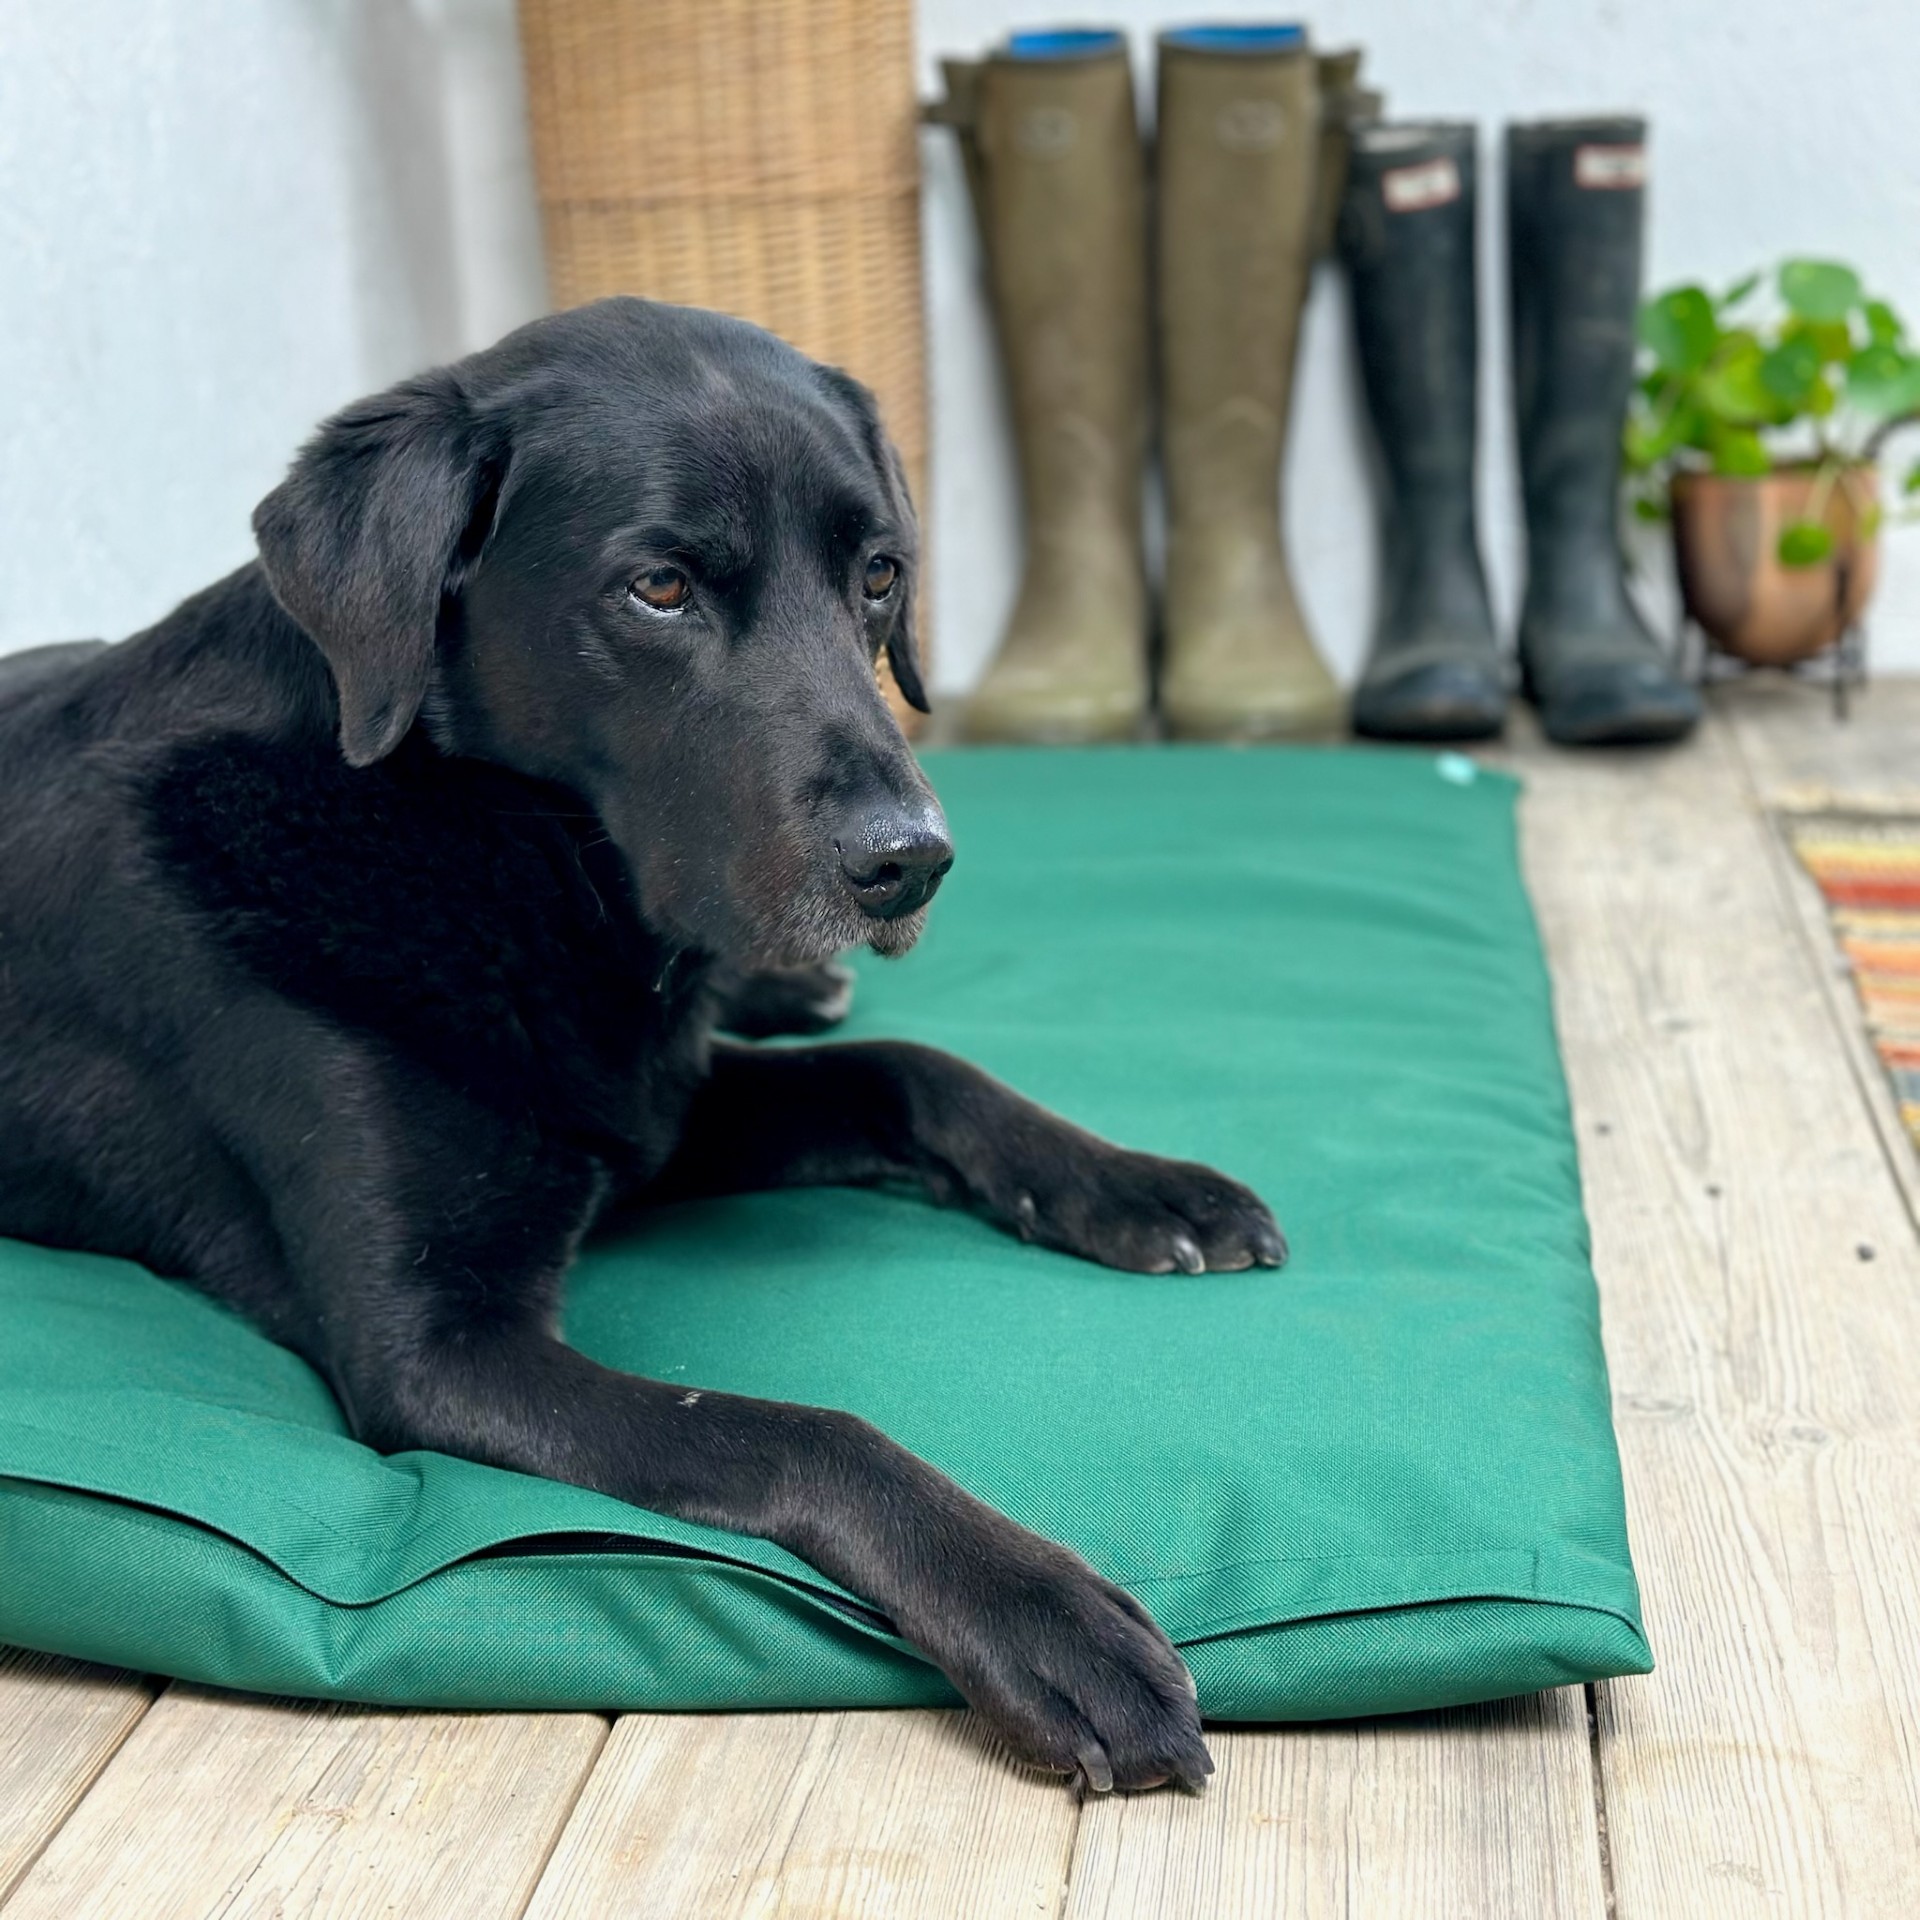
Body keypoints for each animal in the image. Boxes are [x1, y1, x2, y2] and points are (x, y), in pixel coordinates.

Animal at [7, 295, 1290, 1781]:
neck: (516, 867)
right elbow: (806, 1432)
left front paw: (1142, 1188)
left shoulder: (650, 1114)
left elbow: (920, 1071)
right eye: (661, 589)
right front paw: (1047, 1611)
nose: (911, 863)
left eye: (878, 577)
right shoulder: (439, 1347)